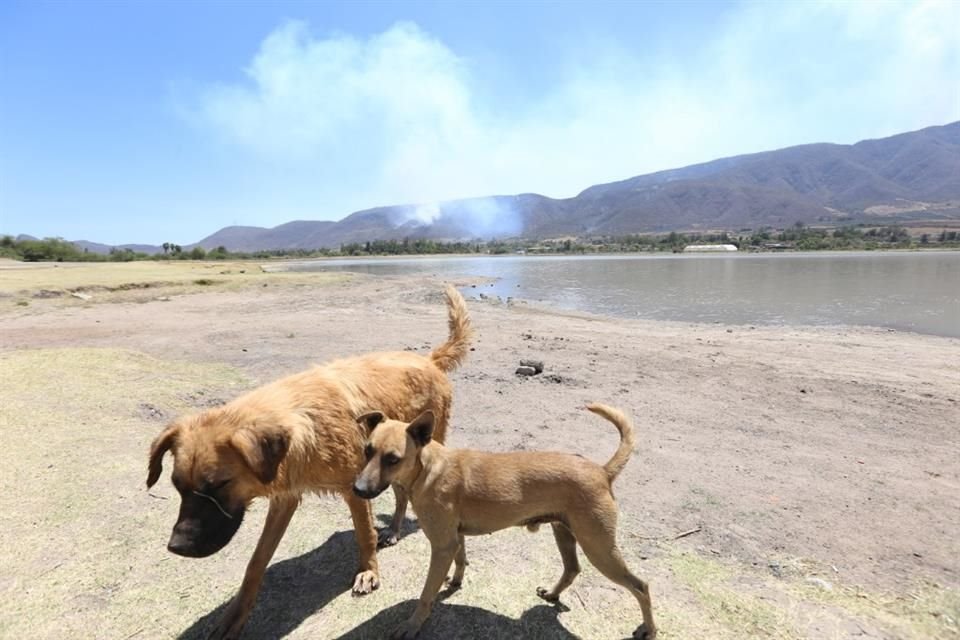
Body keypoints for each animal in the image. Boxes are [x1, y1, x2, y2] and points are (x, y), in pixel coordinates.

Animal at [144, 286, 470, 640]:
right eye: (177, 486)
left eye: (218, 484)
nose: (177, 547)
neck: (303, 422)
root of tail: (428, 359)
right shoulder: (284, 498)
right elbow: (256, 561)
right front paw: (236, 614)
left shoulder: (355, 490)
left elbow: (363, 534)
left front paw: (369, 572)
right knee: (399, 494)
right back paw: (394, 529)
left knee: (404, 494)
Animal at [354, 404, 660, 640]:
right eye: (367, 451)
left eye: (393, 459)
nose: (357, 489)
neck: (428, 468)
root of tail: (602, 471)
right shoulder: (455, 538)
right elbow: (460, 560)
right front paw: (455, 582)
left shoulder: (442, 546)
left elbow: (426, 594)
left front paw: (413, 624)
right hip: (565, 533)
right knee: (572, 568)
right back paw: (552, 594)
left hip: (598, 548)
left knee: (641, 586)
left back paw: (649, 629)